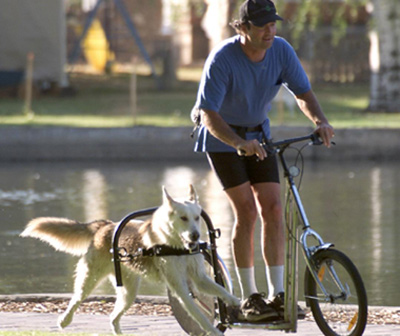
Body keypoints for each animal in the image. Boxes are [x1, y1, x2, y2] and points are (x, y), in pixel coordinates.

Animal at [20, 185, 239, 336]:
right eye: (183, 218)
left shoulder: (199, 278)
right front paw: (214, 330)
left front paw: (238, 302)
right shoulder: (181, 289)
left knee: (113, 316)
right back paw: (64, 320)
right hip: (89, 279)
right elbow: (199, 315)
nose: (195, 236)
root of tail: (105, 226)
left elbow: (221, 291)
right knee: (76, 299)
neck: (176, 245)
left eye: (196, 217)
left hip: (129, 291)